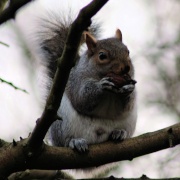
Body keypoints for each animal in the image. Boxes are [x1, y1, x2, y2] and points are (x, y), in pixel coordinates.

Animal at [39, 16, 137, 152]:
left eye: (127, 52)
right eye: (102, 56)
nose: (126, 68)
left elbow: (127, 105)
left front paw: (128, 89)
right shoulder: (76, 82)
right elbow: (82, 99)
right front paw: (101, 86)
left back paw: (120, 132)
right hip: (62, 122)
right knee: (65, 141)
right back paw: (75, 141)